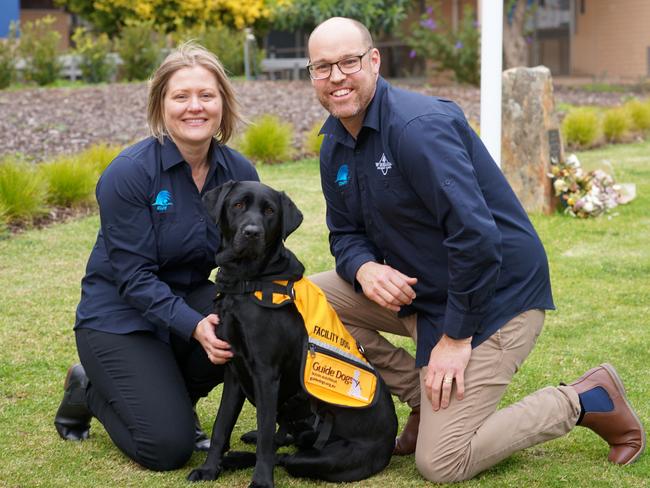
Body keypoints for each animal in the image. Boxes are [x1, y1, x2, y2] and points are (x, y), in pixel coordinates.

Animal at [187, 182, 394, 488]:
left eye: (270, 211)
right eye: (238, 205)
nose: (252, 233)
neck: (246, 281)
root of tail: (392, 443)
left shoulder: (265, 373)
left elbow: (264, 439)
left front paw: (261, 481)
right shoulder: (233, 371)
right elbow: (221, 426)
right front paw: (209, 469)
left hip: (323, 458)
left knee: (286, 455)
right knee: (283, 440)